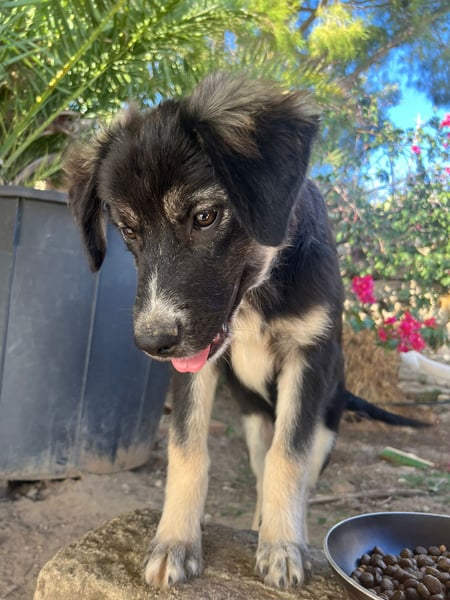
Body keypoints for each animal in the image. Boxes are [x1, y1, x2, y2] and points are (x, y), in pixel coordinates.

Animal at [66, 73, 425, 590]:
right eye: (129, 231)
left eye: (205, 217)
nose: (151, 343)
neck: (256, 298)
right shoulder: (195, 362)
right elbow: (187, 449)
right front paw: (175, 541)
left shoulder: (306, 358)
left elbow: (288, 458)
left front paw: (281, 547)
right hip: (254, 417)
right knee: (258, 460)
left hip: (327, 421)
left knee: (297, 466)